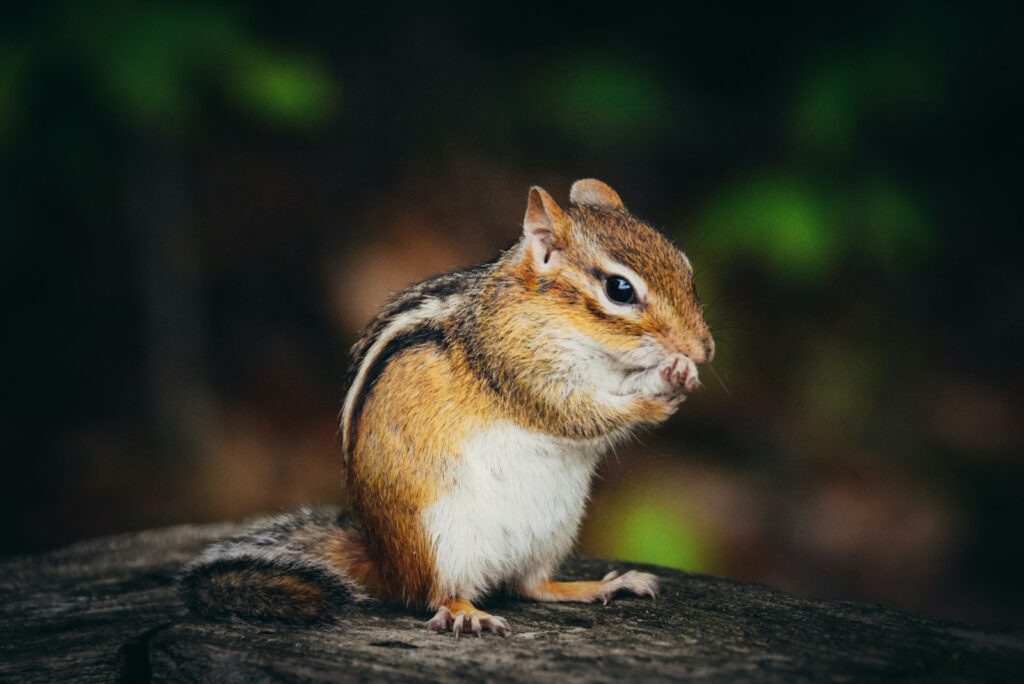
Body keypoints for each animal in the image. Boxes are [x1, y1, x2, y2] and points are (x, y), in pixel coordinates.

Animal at [181, 179, 714, 636]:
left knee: (532, 586)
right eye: (619, 290)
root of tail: (385, 561)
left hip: (554, 531)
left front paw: (682, 373)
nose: (704, 349)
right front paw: (659, 388)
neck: (550, 314)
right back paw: (465, 612)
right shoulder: (519, 368)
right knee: (436, 594)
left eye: (687, 268)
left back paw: (602, 585)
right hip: (441, 539)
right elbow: (579, 412)